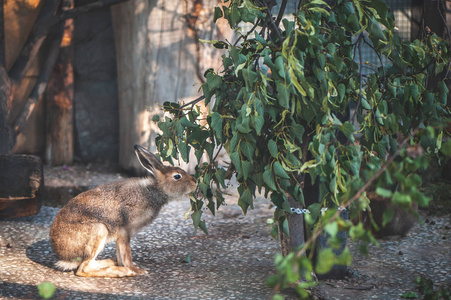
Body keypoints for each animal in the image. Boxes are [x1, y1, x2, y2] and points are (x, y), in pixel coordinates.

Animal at [50, 144, 197, 278]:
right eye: (177, 176)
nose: (195, 182)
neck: (153, 191)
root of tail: (63, 256)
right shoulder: (125, 231)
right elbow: (126, 254)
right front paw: (136, 270)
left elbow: (121, 254)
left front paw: (130, 266)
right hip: (99, 230)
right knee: (83, 269)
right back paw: (121, 271)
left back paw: (112, 262)